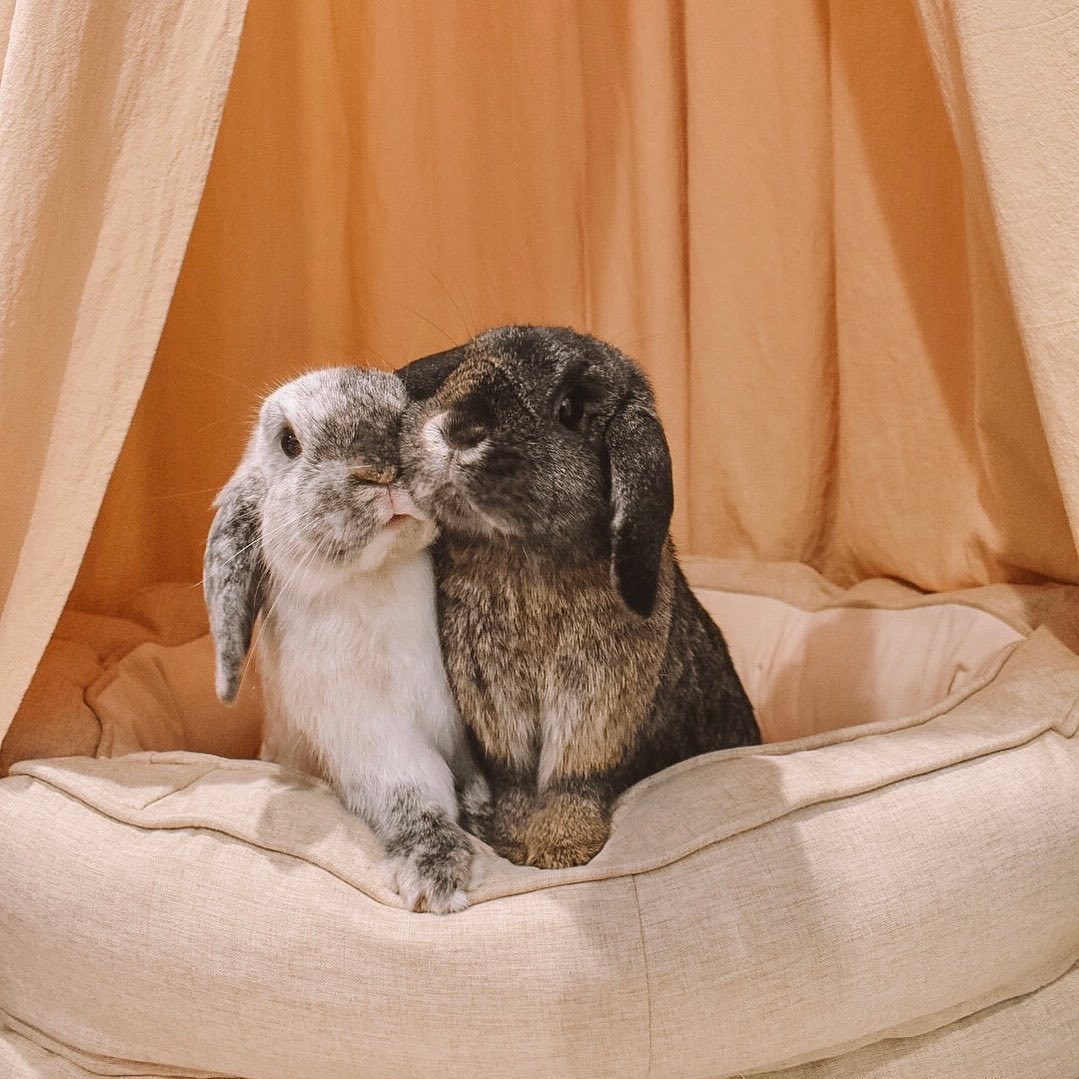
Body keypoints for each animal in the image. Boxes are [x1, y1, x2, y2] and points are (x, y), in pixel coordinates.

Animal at [203, 366, 489, 913]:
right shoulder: (365, 733)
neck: (377, 574)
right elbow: (415, 785)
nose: (381, 471)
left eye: (409, 405)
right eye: (289, 442)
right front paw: (435, 877)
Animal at [396, 326, 760, 870]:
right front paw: (514, 845)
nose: (458, 429)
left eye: (569, 408)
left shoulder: (594, 710)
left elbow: (572, 780)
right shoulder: (497, 714)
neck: (520, 557)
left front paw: (561, 851)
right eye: (469, 361)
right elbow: (517, 783)